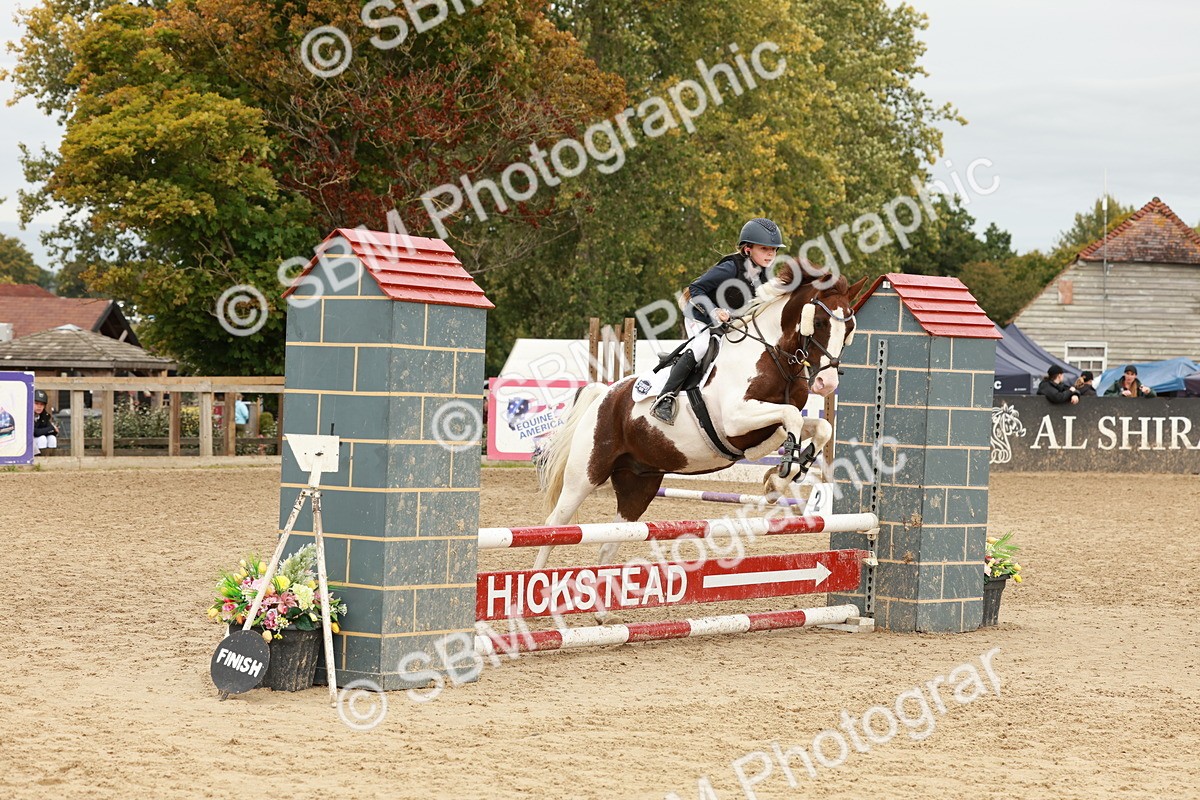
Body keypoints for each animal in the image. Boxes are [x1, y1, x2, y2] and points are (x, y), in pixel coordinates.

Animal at [533, 265, 866, 571]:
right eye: (819, 322)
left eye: (850, 328)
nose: (826, 384)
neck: (774, 356)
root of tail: (605, 395)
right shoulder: (736, 421)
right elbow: (792, 417)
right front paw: (781, 473)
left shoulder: (766, 424)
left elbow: (818, 426)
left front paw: (786, 473)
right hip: (585, 474)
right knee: (555, 524)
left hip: (639, 483)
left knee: (611, 540)